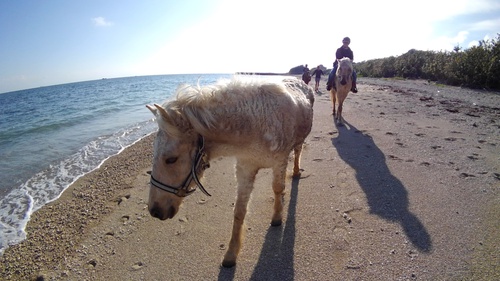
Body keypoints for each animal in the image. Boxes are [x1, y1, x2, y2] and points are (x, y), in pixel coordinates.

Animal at [146, 77, 314, 266]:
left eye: (171, 159)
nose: (155, 211)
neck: (257, 124)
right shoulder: (245, 168)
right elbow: (239, 211)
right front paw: (231, 253)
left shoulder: (279, 162)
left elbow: (277, 189)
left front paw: (277, 217)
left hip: (299, 142)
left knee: (298, 152)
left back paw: (296, 172)